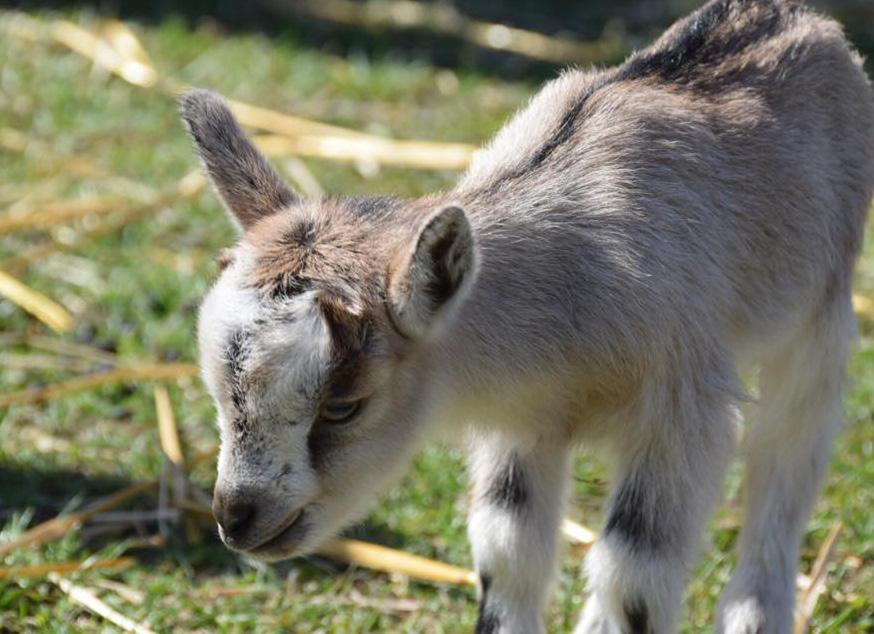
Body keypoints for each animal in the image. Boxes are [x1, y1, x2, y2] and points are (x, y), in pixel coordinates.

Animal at [181, 2, 868, 628]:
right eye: (215, 387)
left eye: (343, 406)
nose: (237, 517)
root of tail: (796, 17)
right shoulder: (525, 421)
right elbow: (508, 554)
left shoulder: (684, 411)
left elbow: (634, 574)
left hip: (821, 319)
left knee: (787, 461)